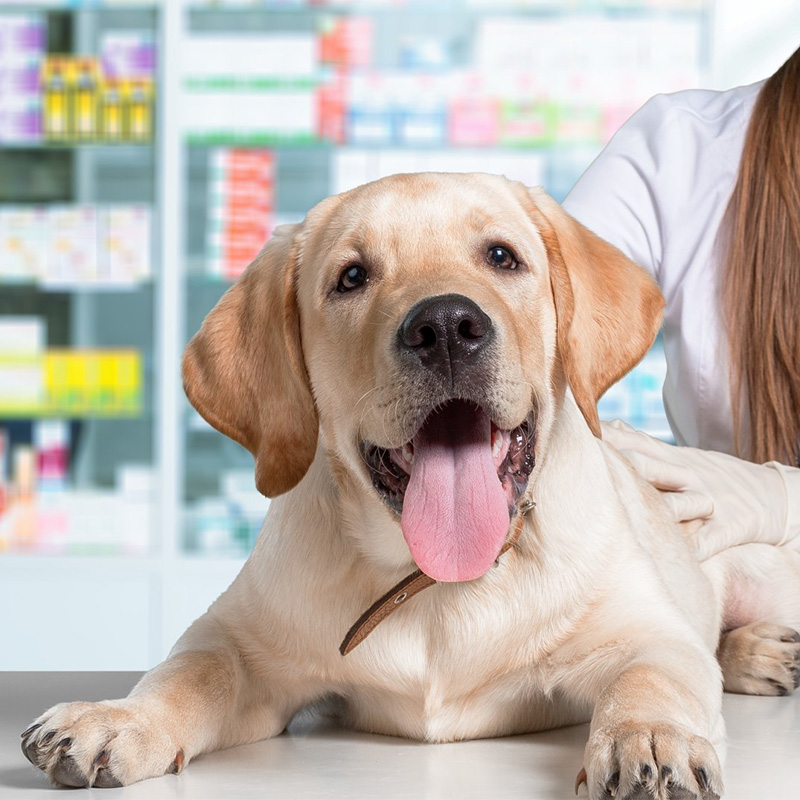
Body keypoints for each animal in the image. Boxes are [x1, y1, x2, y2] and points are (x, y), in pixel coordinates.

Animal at [18, 172, 800, 796]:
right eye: (351, 277)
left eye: (502, 257)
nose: (446, 326)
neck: (439, 584)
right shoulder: (243, 641)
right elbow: (191, 669)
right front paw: (117, 717)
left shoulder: (645, 633)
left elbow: (653, 677)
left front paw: (649, 739)